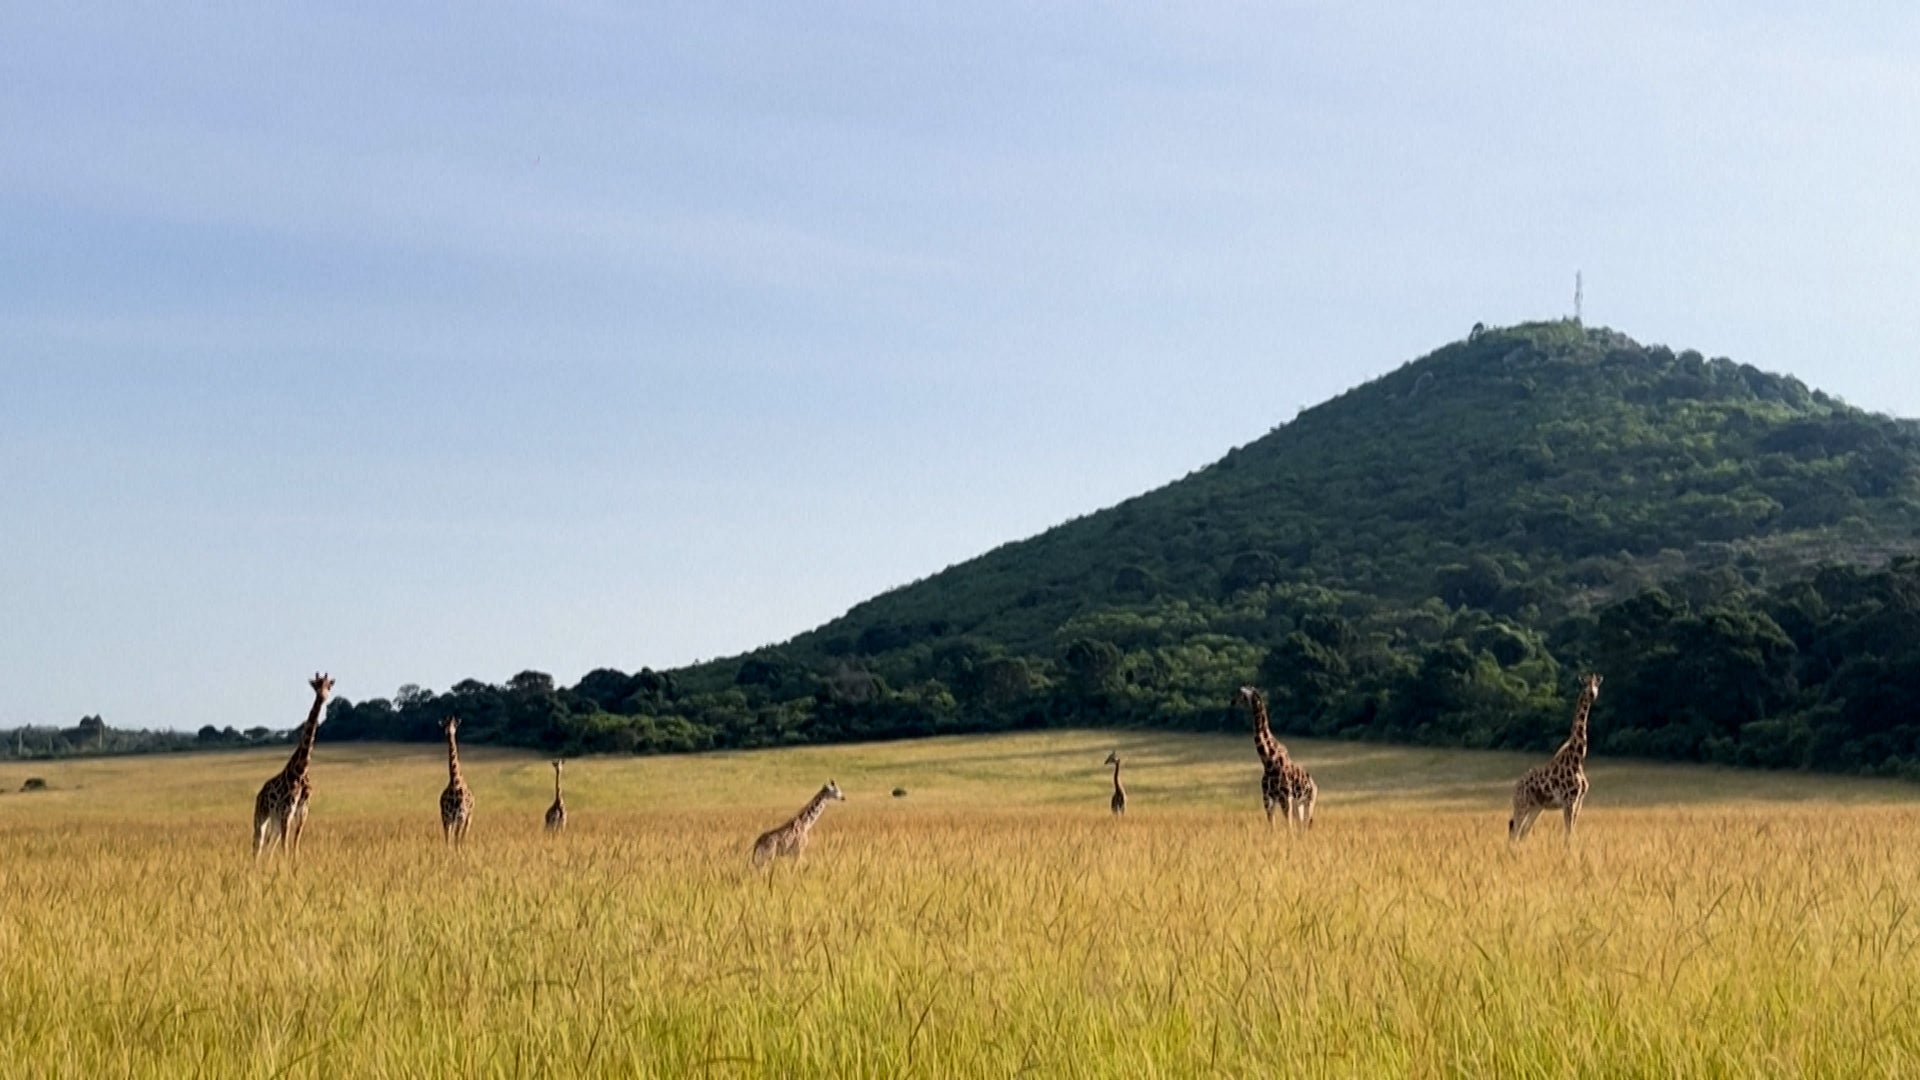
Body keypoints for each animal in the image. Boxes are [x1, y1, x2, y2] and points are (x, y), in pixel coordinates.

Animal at [252, 672, 334, 860]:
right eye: (316, 685)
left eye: (329, 686)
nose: (323, 696)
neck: (301, 769)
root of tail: (260, 794)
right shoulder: (286, 810)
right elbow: (285, 845)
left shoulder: (303, 810)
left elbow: (294, 843)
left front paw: (295, 863)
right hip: (262, 815)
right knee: (258, 844)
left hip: (275, 820)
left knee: (269, 845)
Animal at [439, 717, 474, 845]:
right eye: (445, 725)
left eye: (454, 725)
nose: (448, 732)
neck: (455, 782)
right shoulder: (447, 817)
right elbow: (449, 840)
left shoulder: (461, 816)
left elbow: (457, 840)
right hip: (451, 819)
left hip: (469, 817)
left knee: (463, 836)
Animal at [1231, 685, 1317, 829]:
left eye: (1241, 694)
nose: (1232, 702)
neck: (1268, 761)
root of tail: (1315, 785)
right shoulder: (1268, 798)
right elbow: (1272, 828)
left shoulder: (1285, 798)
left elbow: (1289, 828)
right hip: (1297, 804)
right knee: (1300, 827)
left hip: (1309, 802)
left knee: (1305, 826)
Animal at [1509, 673, 1603, 844]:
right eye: (1584, 684)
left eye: (1596, 684)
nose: (1592, 694)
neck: (1578, 758)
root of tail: (1515, 788)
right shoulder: (1569, 800)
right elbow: (1568, 834)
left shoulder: (1579, 800)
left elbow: (1571, 832)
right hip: (1522, 804)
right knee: (1515, 833)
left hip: (1536, 807)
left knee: (1523, 832)